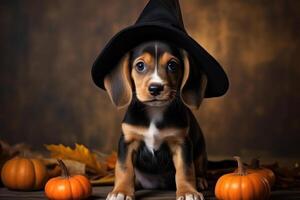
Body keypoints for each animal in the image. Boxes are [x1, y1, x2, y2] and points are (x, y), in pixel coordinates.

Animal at [104, 40, 207, 200]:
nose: (155, 88)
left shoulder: (181, 143)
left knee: (199, 167)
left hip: (201, 149)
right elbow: (124, 168)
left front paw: (188, 191)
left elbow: (185, 169)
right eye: (140, 66)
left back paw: (200, 180)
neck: (155, 111)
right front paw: (121, 191)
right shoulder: (127, 141)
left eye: (172, 65)